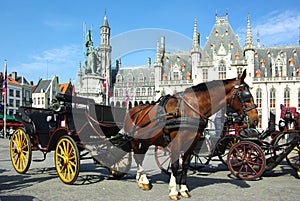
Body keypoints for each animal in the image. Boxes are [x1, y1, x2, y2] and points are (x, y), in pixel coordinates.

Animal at [123, 69, 258, 199]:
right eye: (247, 97)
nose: (255, 120)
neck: (189, 109)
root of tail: (132, 109)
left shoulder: (192, 142)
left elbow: (186, 165)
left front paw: (183, 189)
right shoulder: (176, 141)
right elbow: (175, 165)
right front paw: (173, 191)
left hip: (147, 140)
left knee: (140, 156)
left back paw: (141, 179)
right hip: (134, 140)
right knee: (137, 156)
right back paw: (144, 181)